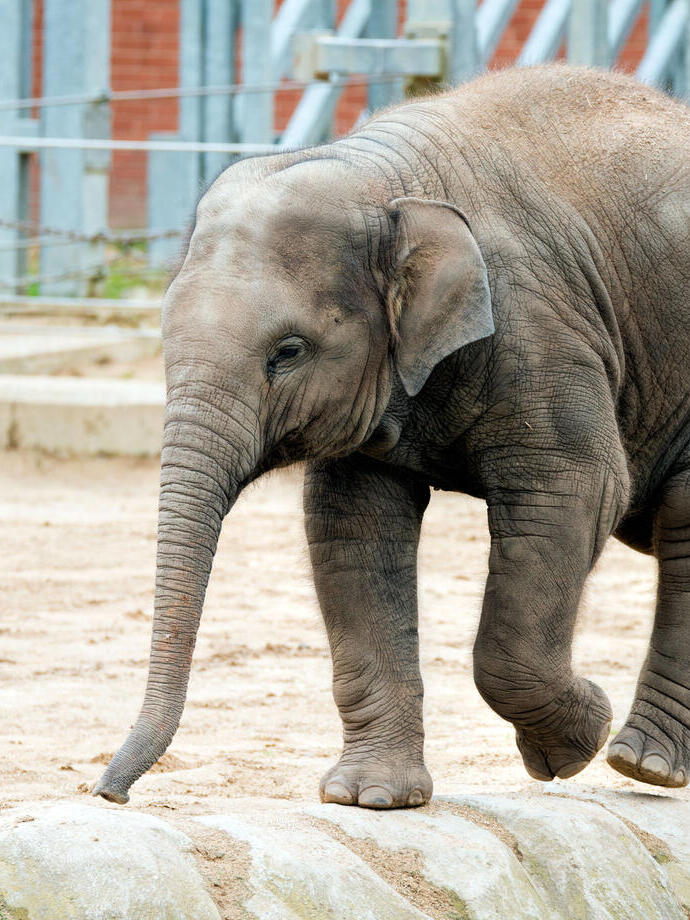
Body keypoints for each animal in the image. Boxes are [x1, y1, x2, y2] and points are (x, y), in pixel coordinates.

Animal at [93, 63, 690, 809]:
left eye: (287, 352)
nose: (107, 792)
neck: (384, 179)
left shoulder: (544, 331)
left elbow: (575, 492)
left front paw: (570, 745)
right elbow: (354, 529)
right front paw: (369, 798)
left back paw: (643, 766)